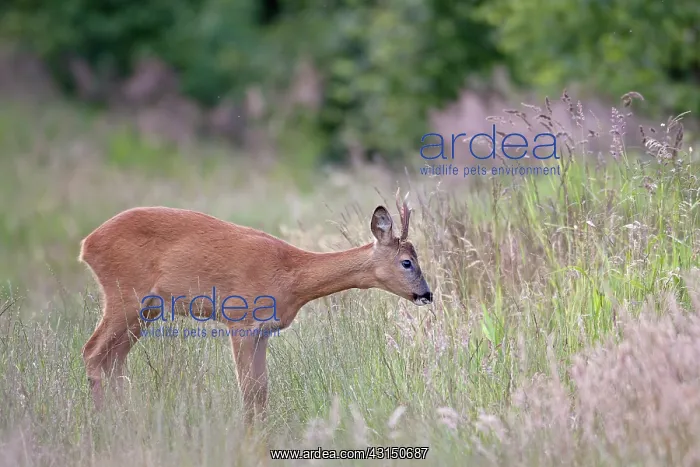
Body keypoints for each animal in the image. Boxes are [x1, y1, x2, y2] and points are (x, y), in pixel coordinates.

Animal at [79, 189, 432, 427]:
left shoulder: (264, 331)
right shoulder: (241, 321)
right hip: (124, 295)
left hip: (147, 309)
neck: (292, 275)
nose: (427, 294)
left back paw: (124, 416)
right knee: (93, 351)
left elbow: (261, 389)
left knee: (115, 359)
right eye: (407, 262)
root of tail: (87, 244)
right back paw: (103, 422)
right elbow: (248, 389)